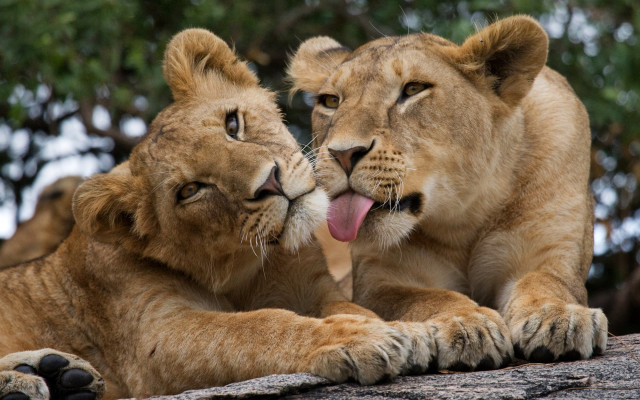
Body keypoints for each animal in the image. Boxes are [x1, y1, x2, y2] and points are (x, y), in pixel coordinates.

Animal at [0, 29, 435, 400]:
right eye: (190, 190)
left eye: (233, 123)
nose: (269, 183)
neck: (244, 271)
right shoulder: (153, 337)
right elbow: (255, 327)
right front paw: (360, 339)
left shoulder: (316, 289)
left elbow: (355, 309)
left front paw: (410, 331)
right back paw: (34, 379)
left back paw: (59, 373)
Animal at [288, 15, 608, 371]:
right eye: (331, 101)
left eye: (413, 89)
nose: (344, 154)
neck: (464, 216)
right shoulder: (379, 282)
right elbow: (428, 297)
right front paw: (468, 326)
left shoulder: (551, 254)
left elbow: (545, 282)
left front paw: (559, 317)